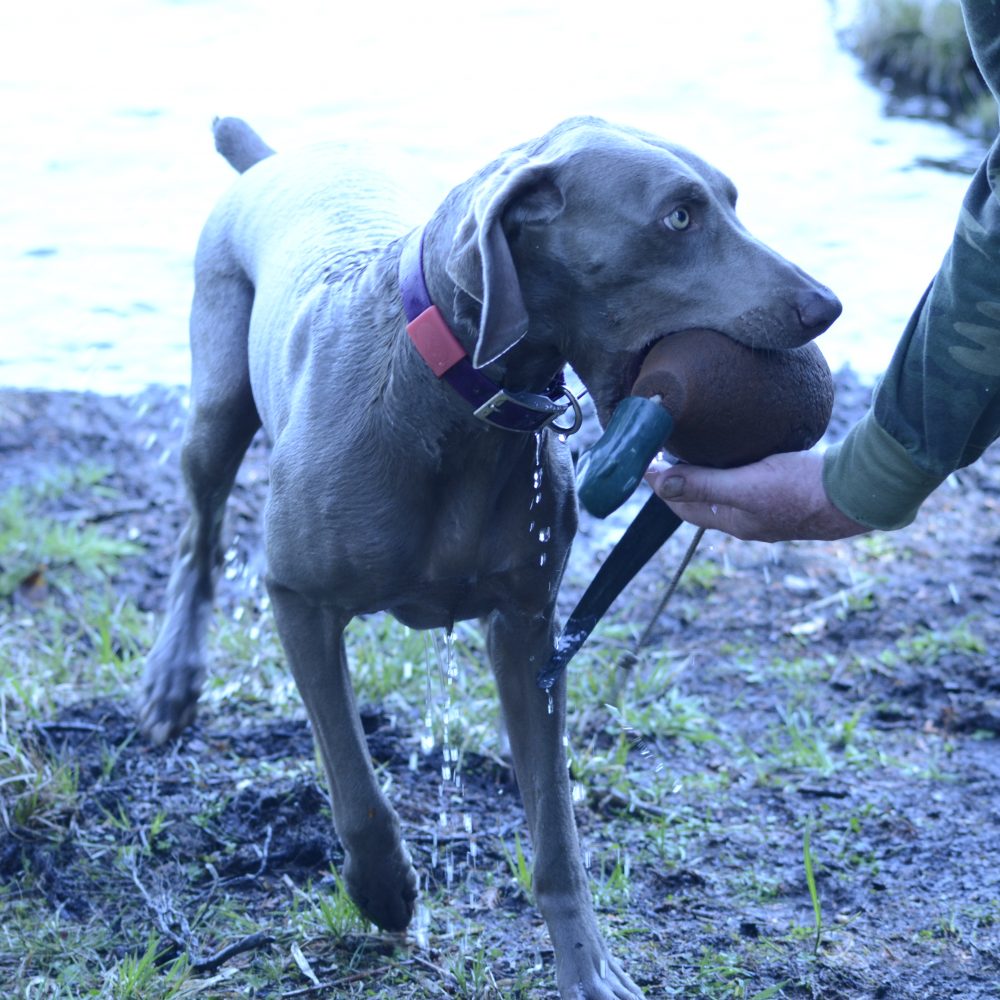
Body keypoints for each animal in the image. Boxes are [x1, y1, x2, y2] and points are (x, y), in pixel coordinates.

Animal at [141, 113, 840, 996]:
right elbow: (355, 783)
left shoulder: (529, 627)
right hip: (216, 400)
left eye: (731, 201)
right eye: (678, 218)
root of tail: (270, 159)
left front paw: (589, 970)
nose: (827, 304)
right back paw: (171, 680)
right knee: (196, 538)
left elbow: (557, 837)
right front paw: (385, 893)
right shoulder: (299, 597)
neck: (459, 401)